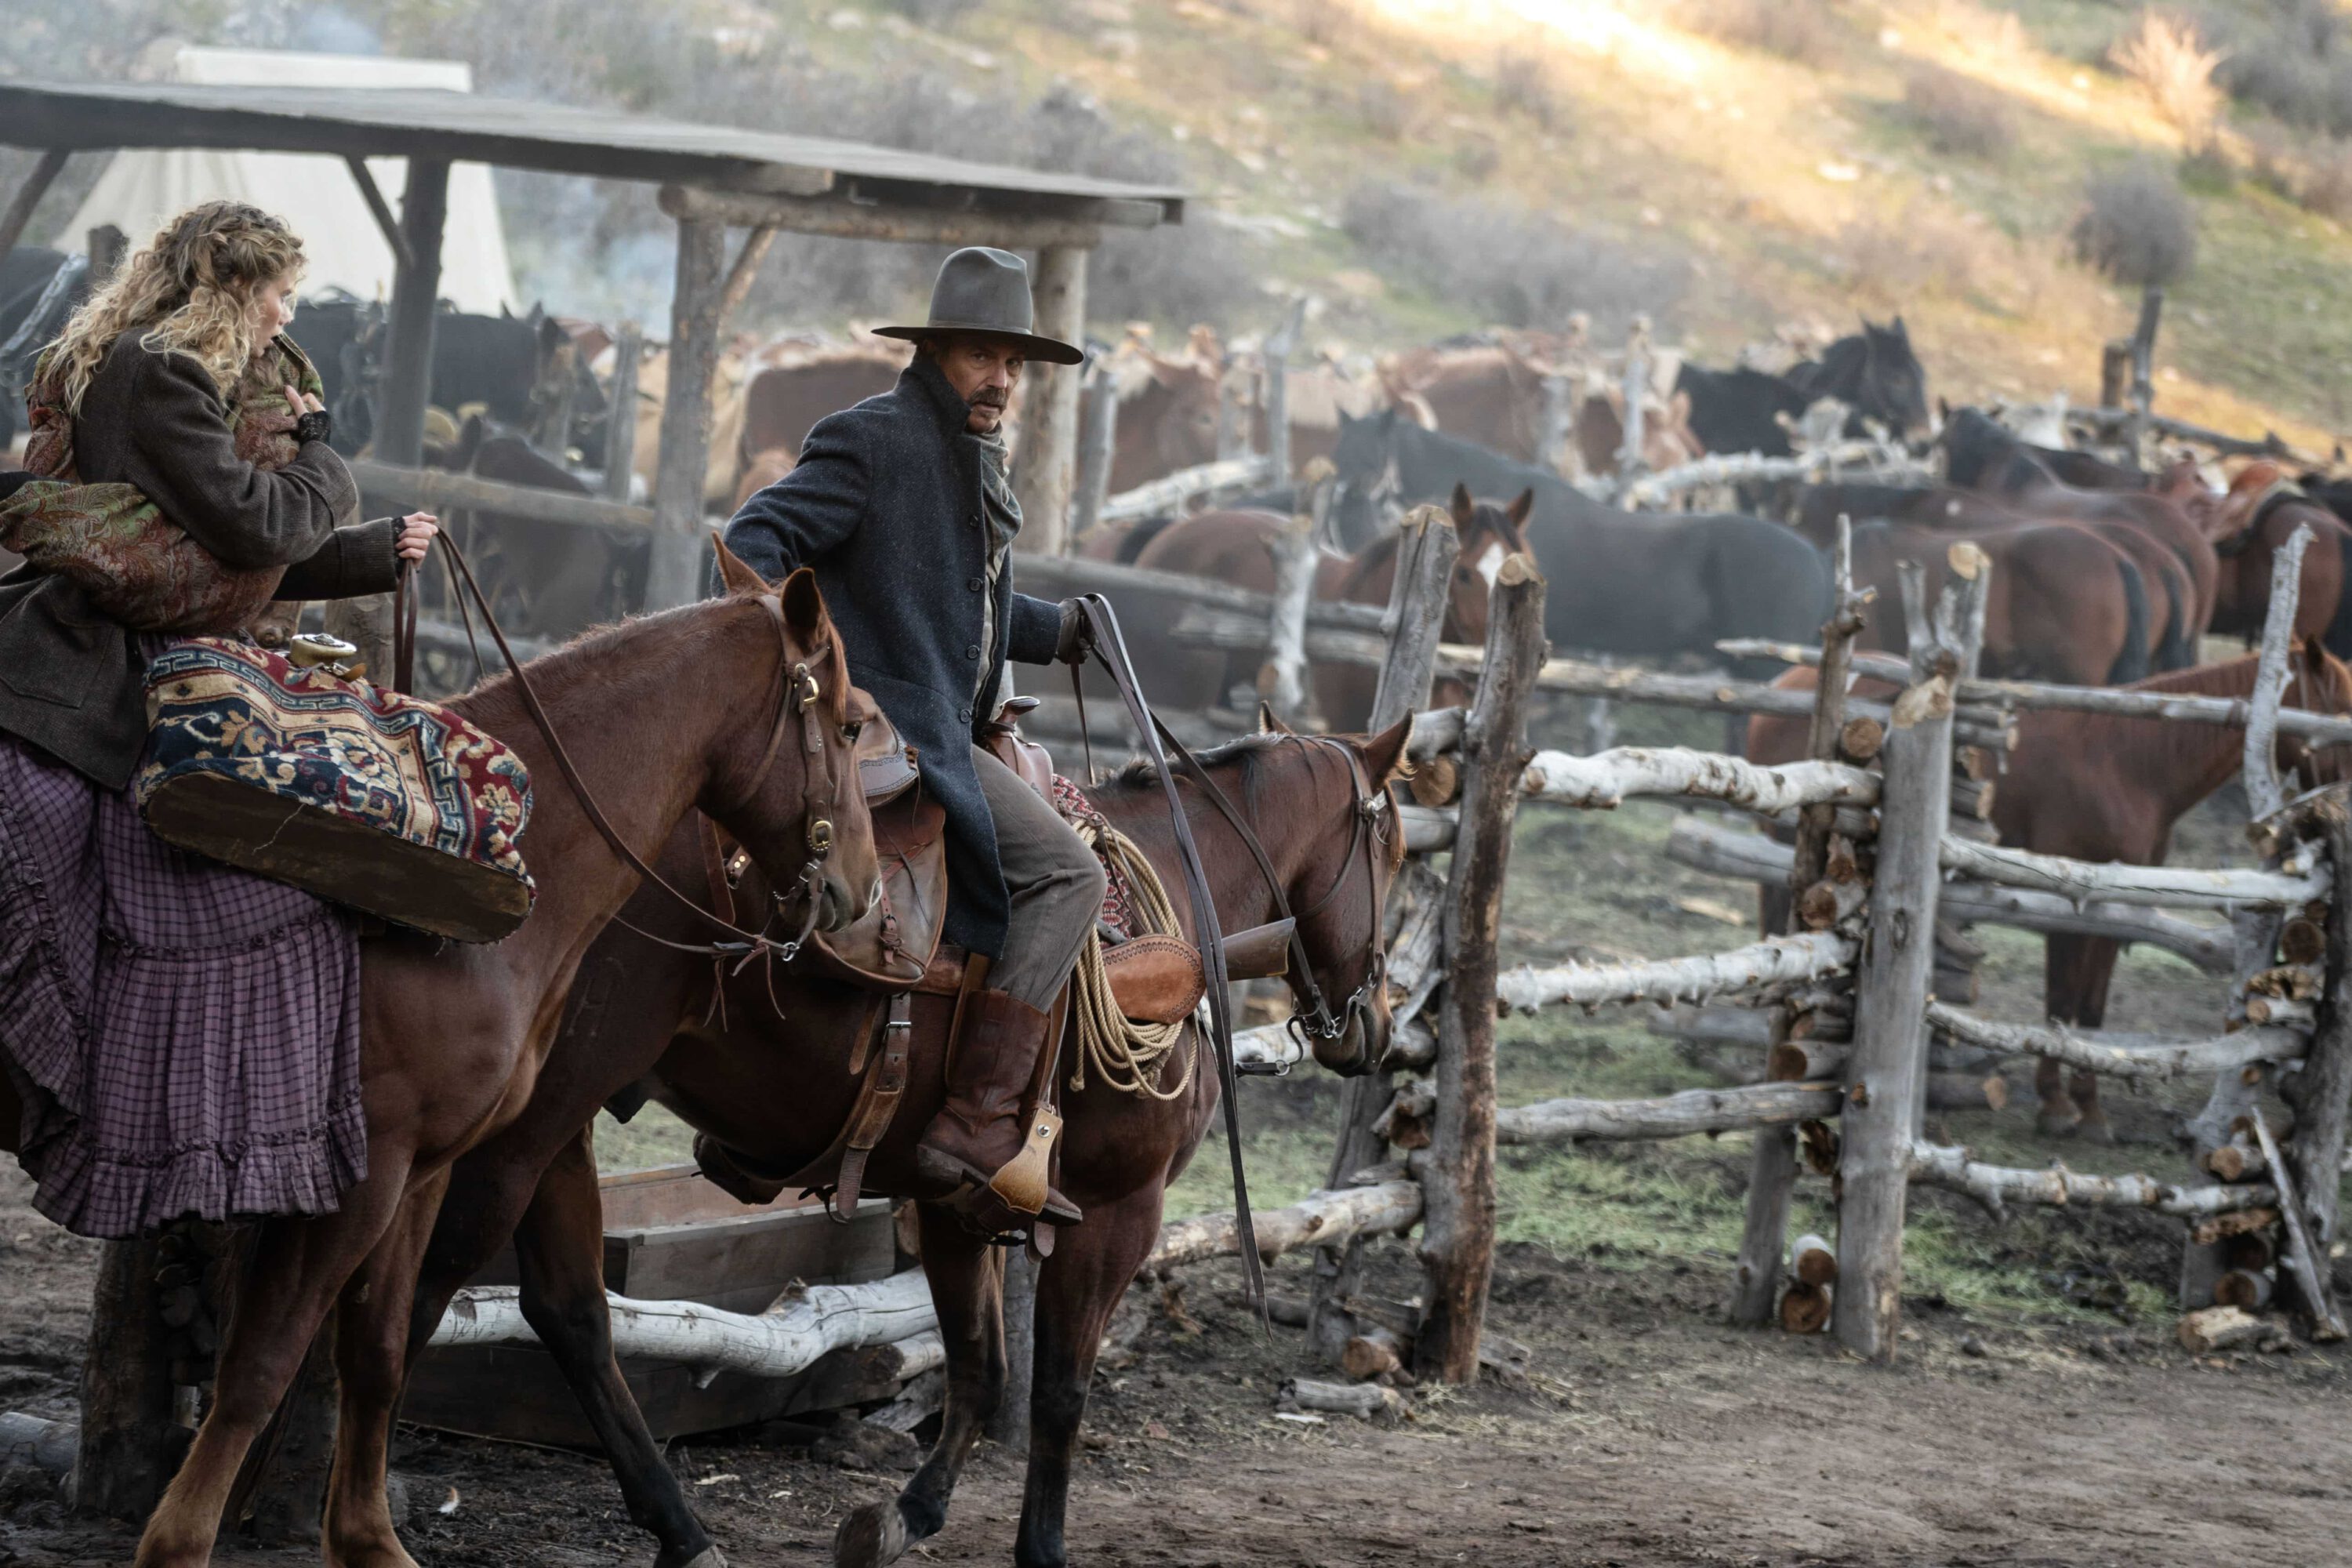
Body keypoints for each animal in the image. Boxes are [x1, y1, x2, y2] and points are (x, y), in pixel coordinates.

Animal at [18, 571, 884, 1561]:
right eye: (852, 724)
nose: (864, 890)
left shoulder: (422, 1170)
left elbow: (379, 1347)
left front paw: (367, 1536)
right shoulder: (364, 1169)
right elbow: (265, 1358)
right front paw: (180, 1541)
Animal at [390, 681, 1411, 1568]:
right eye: (1394, 851)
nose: (1374, 1023)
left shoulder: (953, 1200)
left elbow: (979, 1365)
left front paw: (907, 1512)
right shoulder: (1122, 1208)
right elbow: (1059, 1389)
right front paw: (1040, 1545)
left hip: (557, 1129)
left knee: (568, 1310)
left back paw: (680, 1529)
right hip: (529, 1124)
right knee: (428, 1282)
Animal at [1750, 648, 2352, 1142]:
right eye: (2341, 711)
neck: (2128, 763)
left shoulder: (2115, 909)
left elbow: (2089, 1011)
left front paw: (2091, 1111)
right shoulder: (2072, 908)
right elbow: (2061, 1005)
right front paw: (2059, 1107)